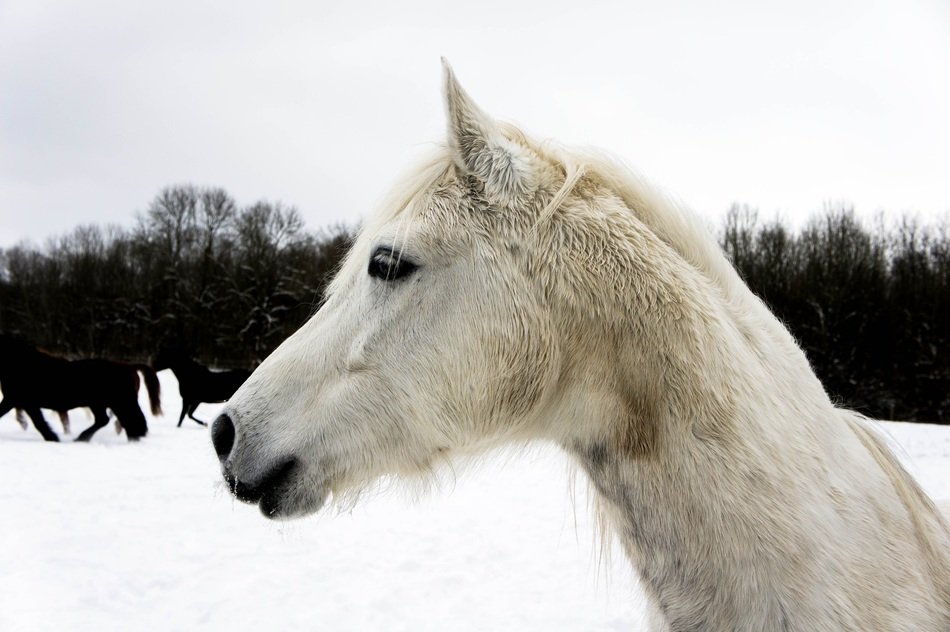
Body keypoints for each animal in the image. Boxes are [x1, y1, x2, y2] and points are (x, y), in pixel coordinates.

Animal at [0, 334, 162, 442]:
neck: (22, 363)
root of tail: (129, 367)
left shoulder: (20, 401)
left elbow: (38, 422)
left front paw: (52, 437)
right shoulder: (18, 401)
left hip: (119, 402)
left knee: (130, 419)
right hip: (102, 404)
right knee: (107, 420)